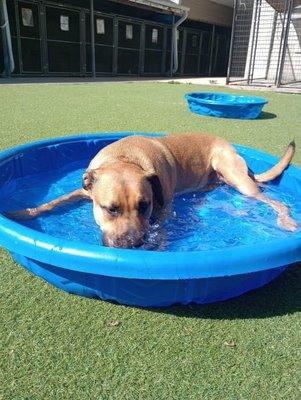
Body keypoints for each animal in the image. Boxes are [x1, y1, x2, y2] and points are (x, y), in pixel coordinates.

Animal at [8, 134, 296, 247]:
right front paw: (21, 213)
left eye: (144, 206)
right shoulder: (84, 191)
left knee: (271, 199)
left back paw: (287, 220)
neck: (124, 158)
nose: (133, 244)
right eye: (111, 209)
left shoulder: (164, 207)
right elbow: (53, 202)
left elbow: (162, 229)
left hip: (237, 177)